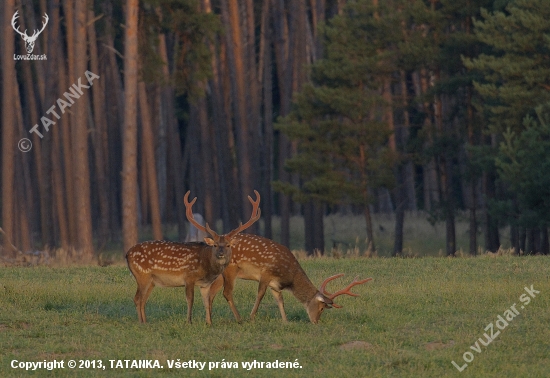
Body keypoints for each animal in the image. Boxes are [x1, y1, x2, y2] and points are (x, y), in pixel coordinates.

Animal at [127, 192, 260, 324]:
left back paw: (145, 322)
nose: (221, 253)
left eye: (228, 245)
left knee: (143, 300)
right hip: (142, 275)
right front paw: (189, 322)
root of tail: (127, 254)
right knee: (137, 298)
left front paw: (209, 323)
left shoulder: (205, 284)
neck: (206, 265)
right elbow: (190, 300)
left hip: (151, 281)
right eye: (215, 245)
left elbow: (206, 302)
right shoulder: (189, 277)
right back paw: (141, 323)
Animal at [209, 235, 374, 324]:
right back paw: (239, 319)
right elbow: (260, 294)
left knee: (211, 292)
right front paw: (252, 317)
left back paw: (209, 319)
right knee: (226, 292)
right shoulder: (266, 273)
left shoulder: (275, 284)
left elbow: (280, 300)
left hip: (220, 275)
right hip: (231, 268)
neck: (289, 277)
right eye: (321, 308)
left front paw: (285, 321)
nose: (316, 321)